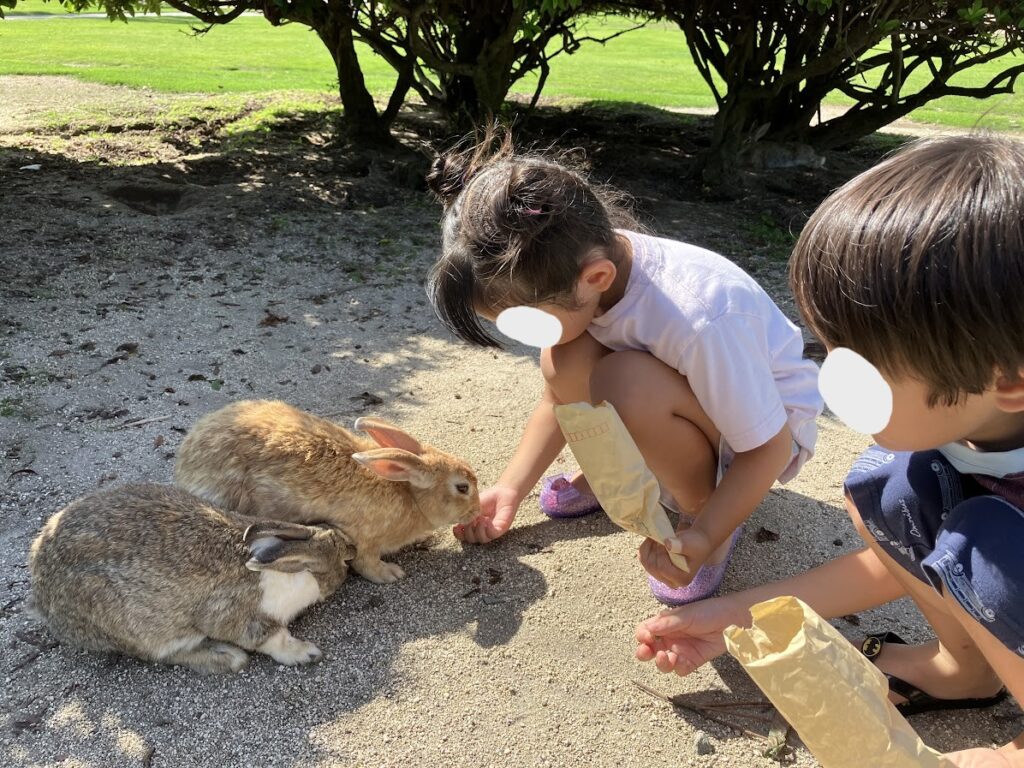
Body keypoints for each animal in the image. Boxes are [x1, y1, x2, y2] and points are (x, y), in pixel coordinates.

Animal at [29, 487, 356, 671]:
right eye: (341, 560)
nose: (353, 550)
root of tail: (42, 601)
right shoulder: (235, 615)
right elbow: (270, 638)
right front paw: (305, 653)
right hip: (137, 625)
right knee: (163, 654)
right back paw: (227, 658)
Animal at [174, 403, 481, 581]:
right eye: (462, 487)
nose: (477, 511)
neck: (411, 496)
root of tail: (186, 463)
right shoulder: (363, 538)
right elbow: (367, 563)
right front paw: (391, 575)